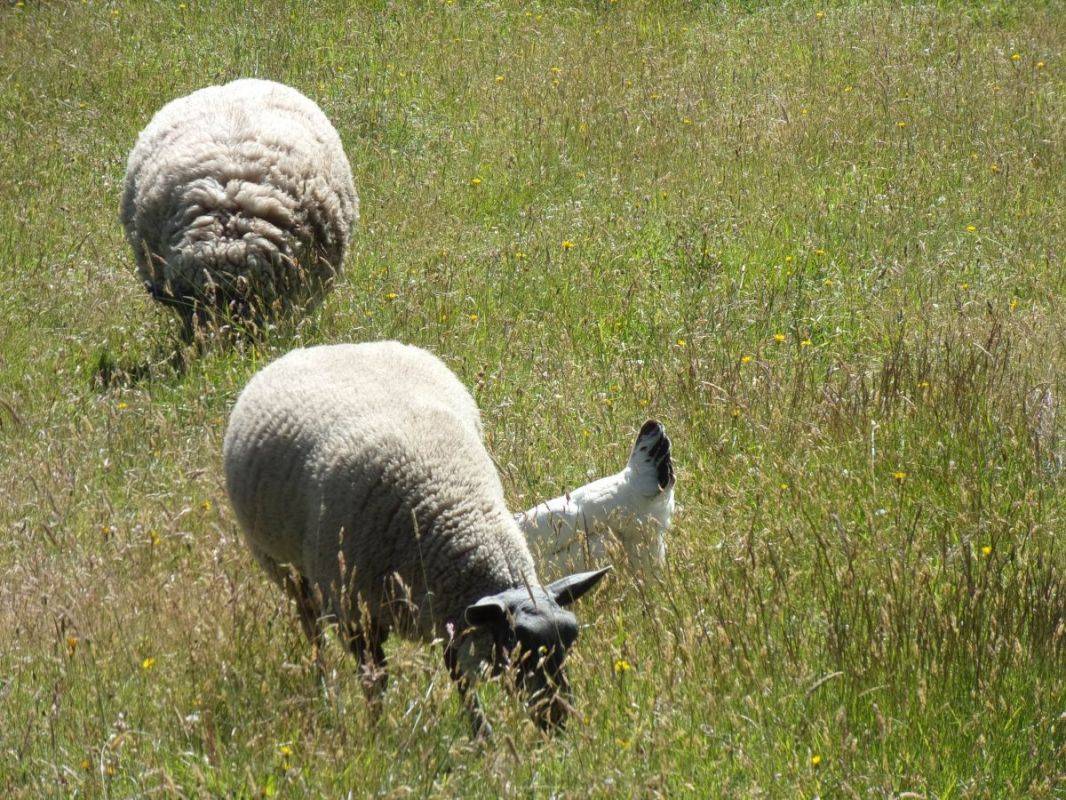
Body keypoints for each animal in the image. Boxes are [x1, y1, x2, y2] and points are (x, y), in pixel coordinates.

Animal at [223, 341, 609, 735]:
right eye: (518, 648)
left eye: (570, 641)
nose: (558, 720)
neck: (455, 509)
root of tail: (324, 347)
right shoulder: (355, 613)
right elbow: (374, 680)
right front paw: (377, 733)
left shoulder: (451, 612)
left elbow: (460, 678)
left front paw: (481, 736)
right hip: (284, 567)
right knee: (312, 632)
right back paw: (323, 694)